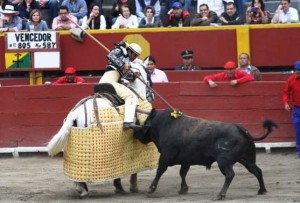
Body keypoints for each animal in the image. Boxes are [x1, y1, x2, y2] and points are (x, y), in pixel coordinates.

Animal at [134, 108, 278, 201]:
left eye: (145, 122)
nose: (135, 135)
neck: (163, 125)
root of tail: (242, 130)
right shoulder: (186, 160)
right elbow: (182, 173)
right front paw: (183, 189)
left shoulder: (166, 156)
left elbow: (160, 171)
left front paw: (151, 189)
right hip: (247, 159)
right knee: (257, 171)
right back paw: (262, 190)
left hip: (224, 161)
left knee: (230, 174)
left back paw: (220, 195)